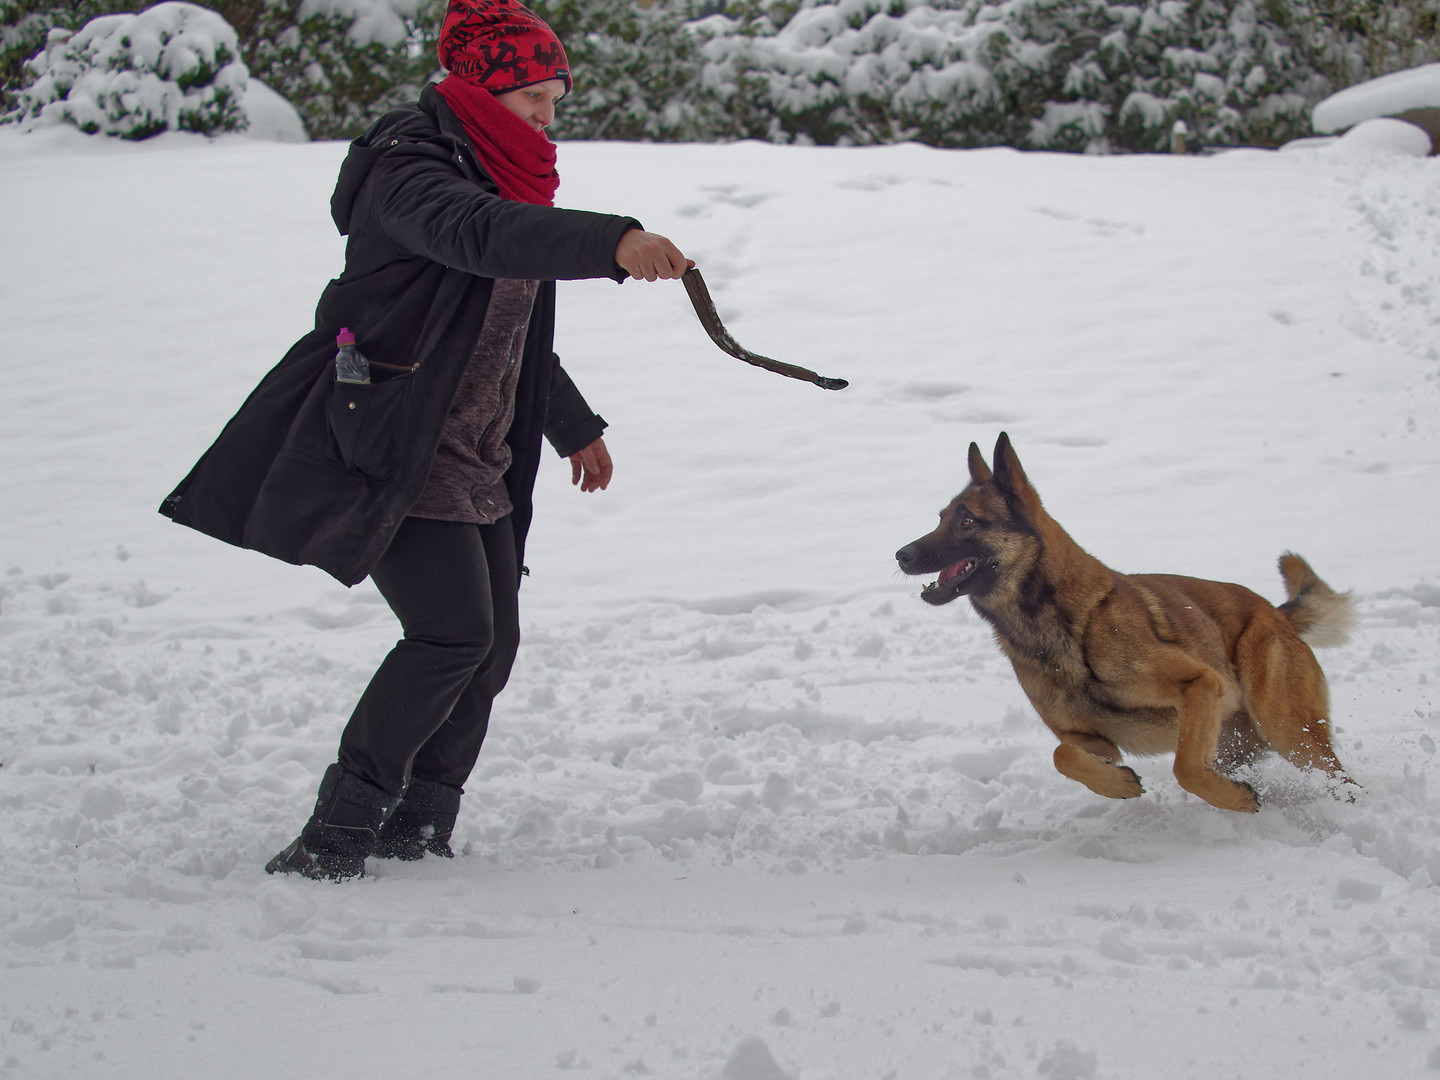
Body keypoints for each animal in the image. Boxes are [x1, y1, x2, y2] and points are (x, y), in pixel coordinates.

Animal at [892, 432, 1353, 812]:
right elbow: (1062, 757)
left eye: (966, 520)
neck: (1058, 625)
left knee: (1340, 782)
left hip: (1288, 731)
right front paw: (1119, 785)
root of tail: (1276, 612)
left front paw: (1233, 800)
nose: (901, 554)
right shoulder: (1087, 738)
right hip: (1238, 745)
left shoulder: (1200, 683)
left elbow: (1186, 769)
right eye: (940, 518)